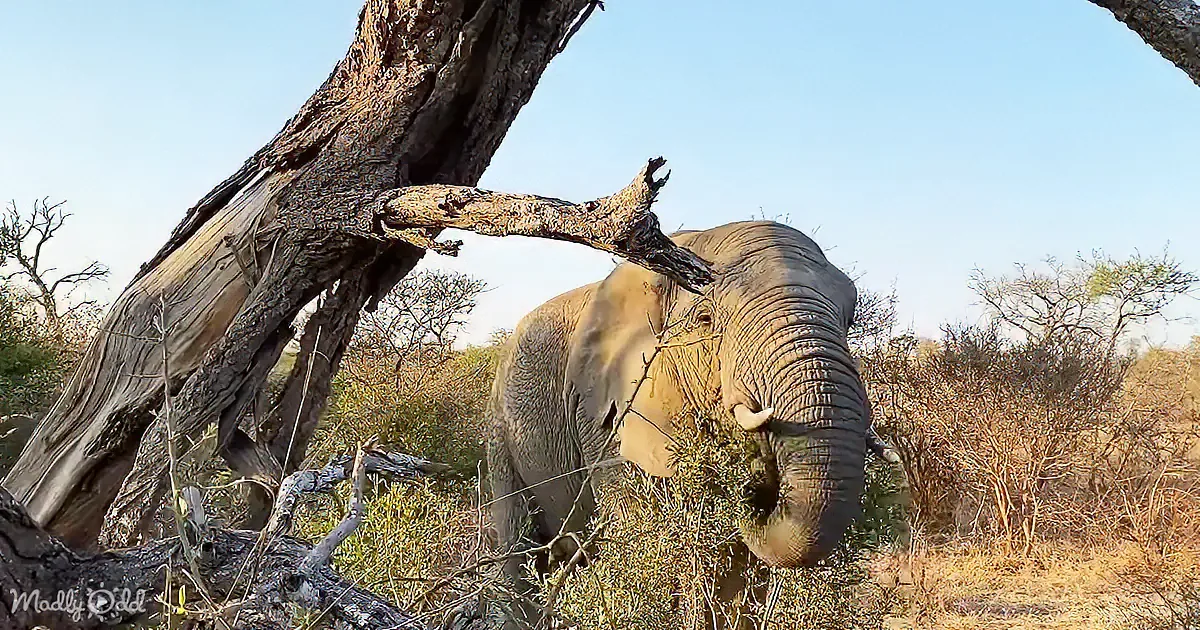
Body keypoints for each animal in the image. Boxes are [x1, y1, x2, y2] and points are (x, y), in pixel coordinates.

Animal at [486, 220, 870, 624]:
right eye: (705, 320)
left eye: (849, 319)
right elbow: (645, 533)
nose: (758, 489)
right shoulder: (601, 414)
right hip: (502, 431)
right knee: (520, 548)